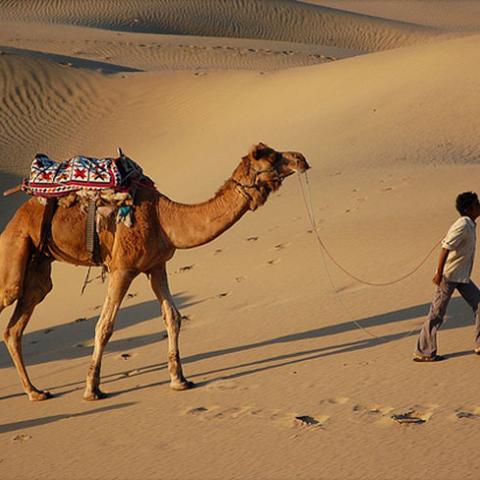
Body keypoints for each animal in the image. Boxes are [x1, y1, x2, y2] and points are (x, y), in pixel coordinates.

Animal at [0, 142, 308, 402]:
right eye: (272, 157)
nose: (301, 158)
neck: (164, 218)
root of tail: (13, 218)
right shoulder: (122, 269)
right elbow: (104, 326)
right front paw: (92, 389)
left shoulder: (156, 266)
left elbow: (173, 316)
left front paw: (179, 380)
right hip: (13, 253)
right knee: (10, 300)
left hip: (38, 267)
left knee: (15, 327)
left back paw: (36, 392)